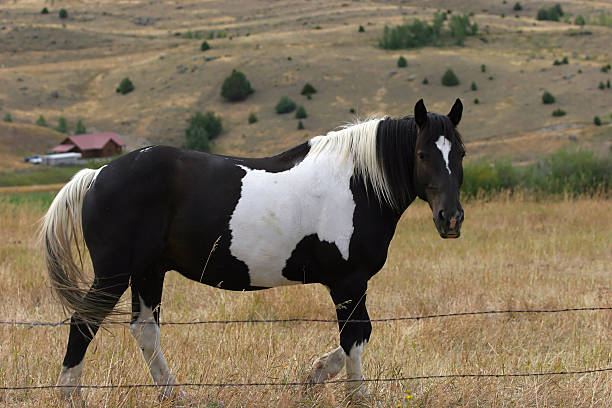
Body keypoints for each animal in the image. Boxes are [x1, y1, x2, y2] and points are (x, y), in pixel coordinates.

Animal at [41, 98, 464, 402]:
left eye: (459, 154)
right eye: (423, 155)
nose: (451, 219)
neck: (358, 183)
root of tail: (97, 174)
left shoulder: (350, 285)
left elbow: (355, 338)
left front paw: (314, 376)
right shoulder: (349, 282)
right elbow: (355, 338)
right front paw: (354, 395)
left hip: (147, 273)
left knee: (144, 331)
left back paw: (173, 394)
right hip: (114, 273)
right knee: (83, 323)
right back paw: (70, 395)